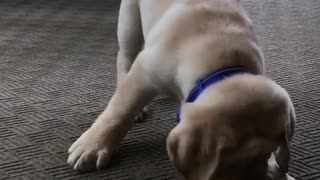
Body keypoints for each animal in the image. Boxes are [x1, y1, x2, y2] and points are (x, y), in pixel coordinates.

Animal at [68, 0, 298, 179]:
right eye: (231, 164)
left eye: (267, 154)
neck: (225, 66)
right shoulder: (144, 73)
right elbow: (120, 110)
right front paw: (93, 145)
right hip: (129, 20)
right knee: (124, 59)